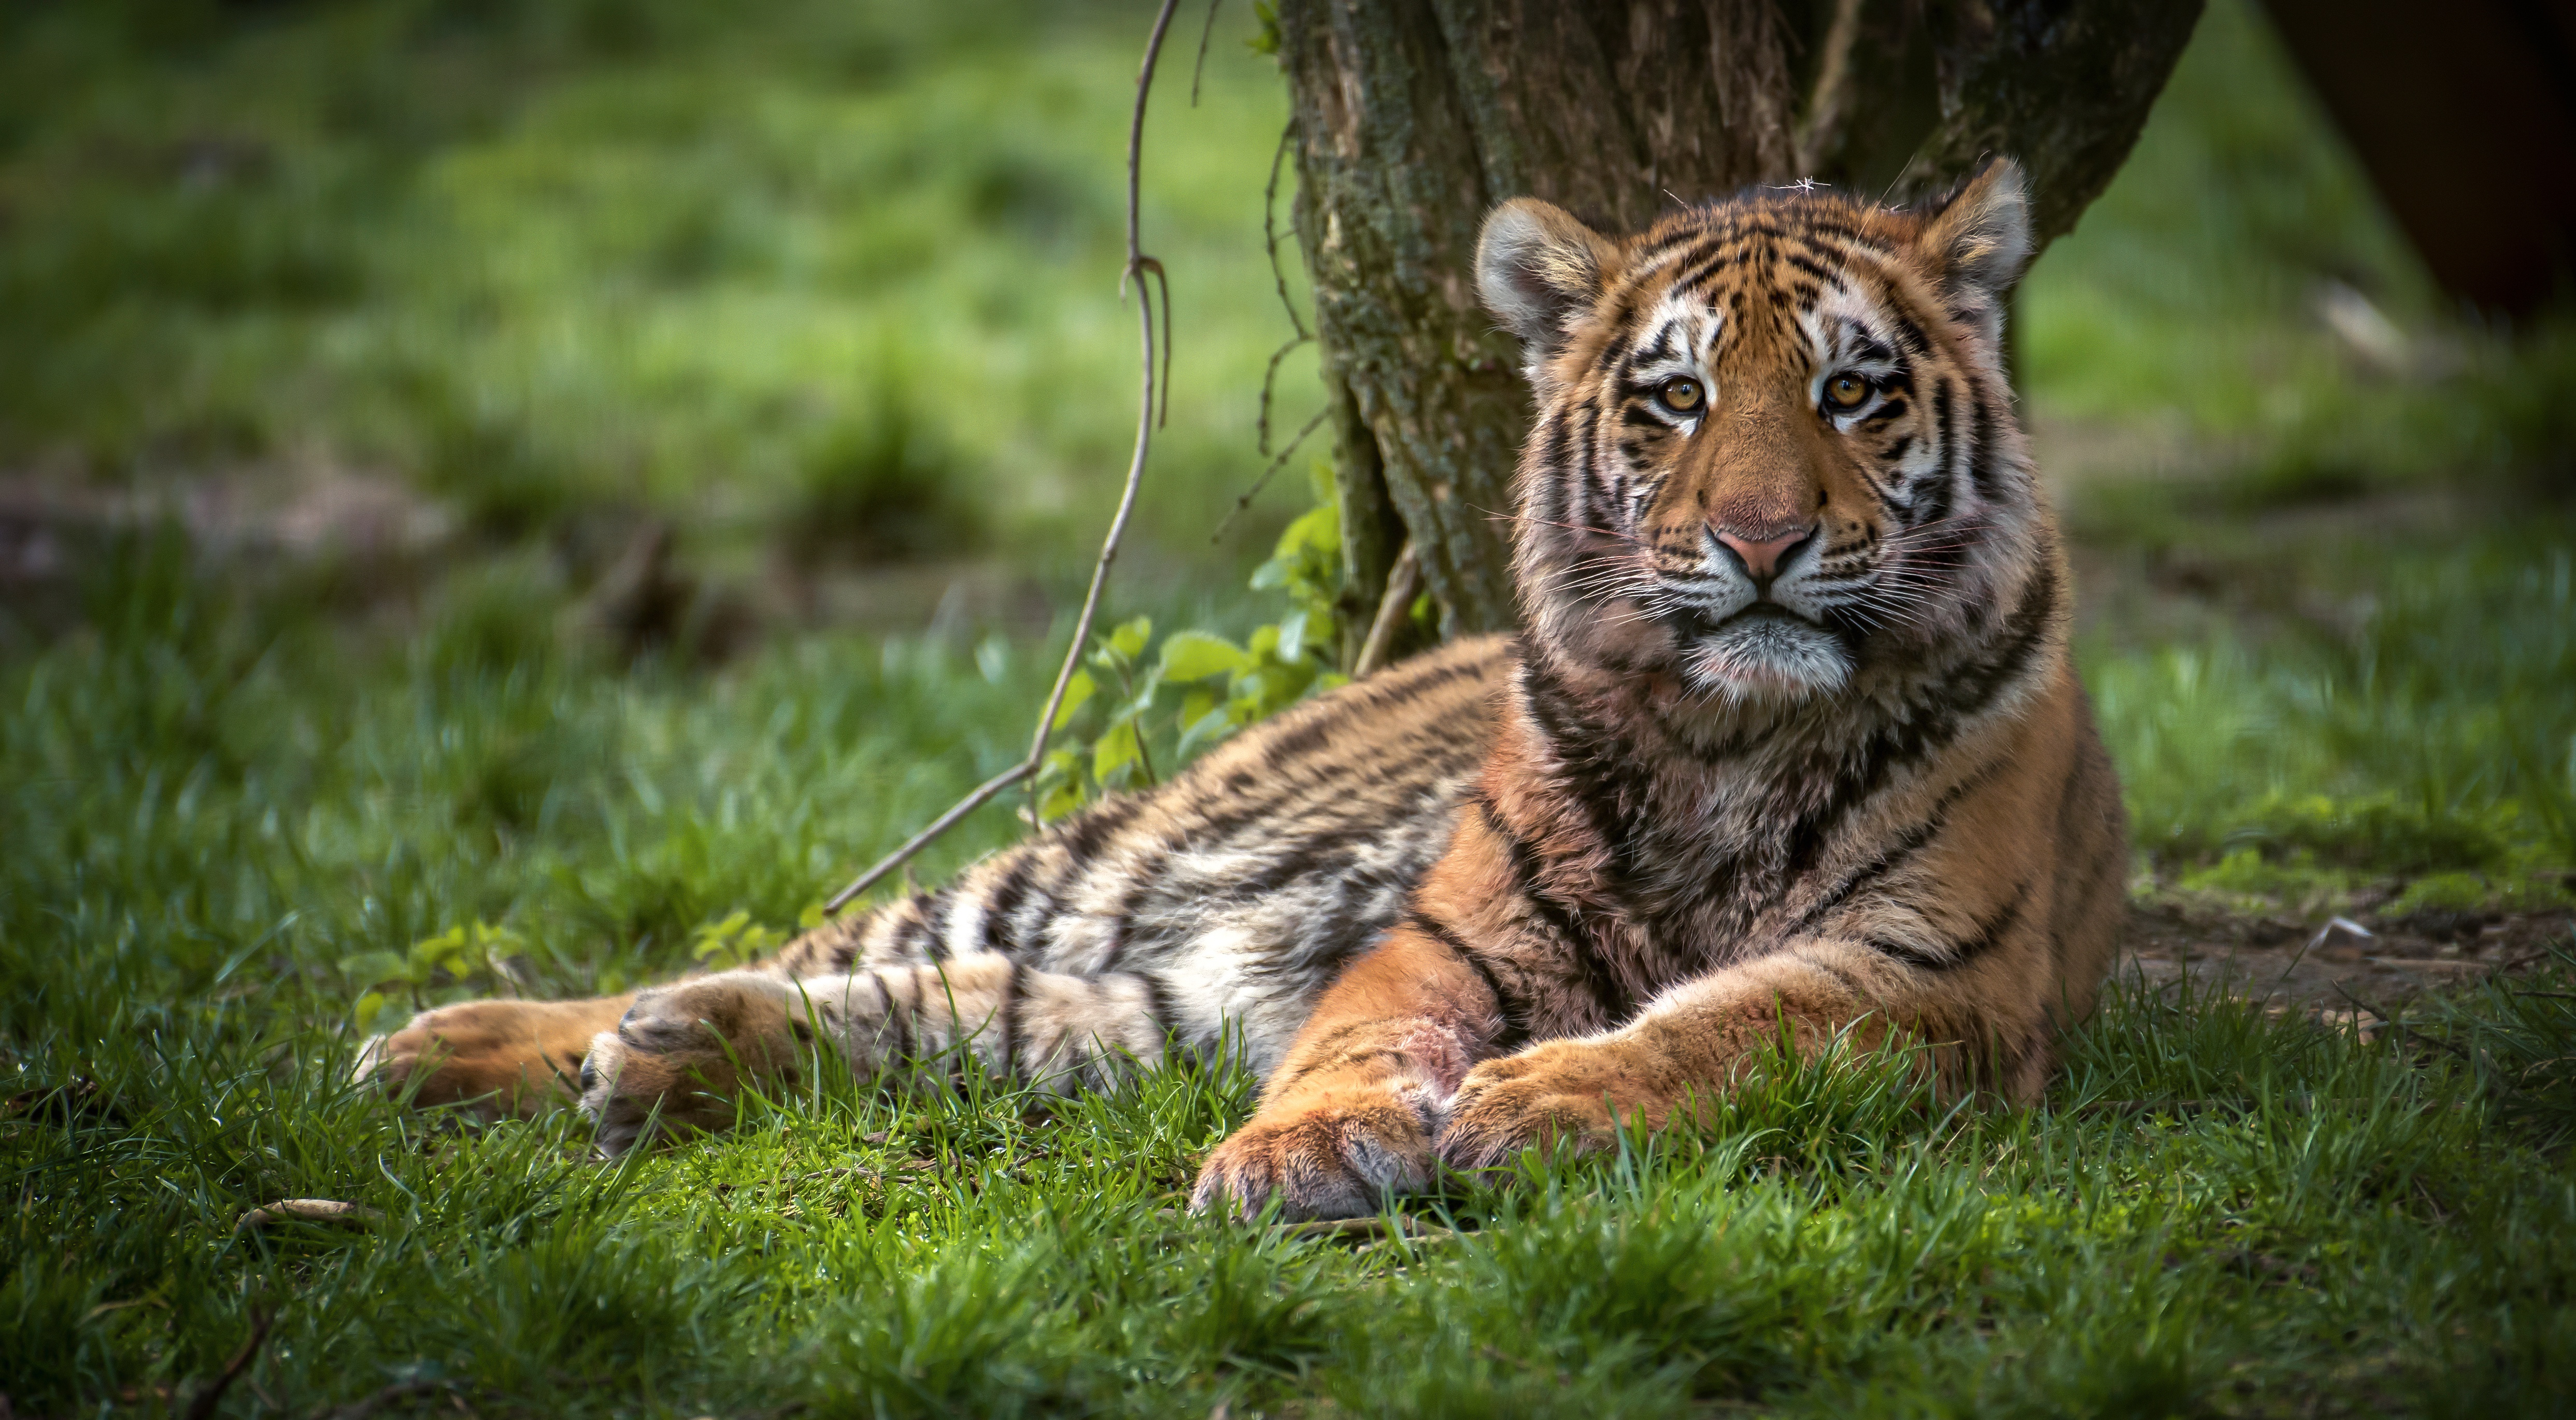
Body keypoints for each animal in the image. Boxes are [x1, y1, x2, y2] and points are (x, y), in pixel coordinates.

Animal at [368, 158, 2132, 1222]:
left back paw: (659, 1058)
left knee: (957, 1019)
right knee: (846, 946)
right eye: (1677, 397)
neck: (1730, 734)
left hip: (1163, 996)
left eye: (1853, 389)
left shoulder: (1934, 974)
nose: (1761, 540)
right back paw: (455, 1043)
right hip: (1100, 861)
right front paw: (1301, 1149)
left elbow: (1731, 1024)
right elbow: (1363, 1036)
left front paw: (1542, 1102)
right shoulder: (1445, 937)